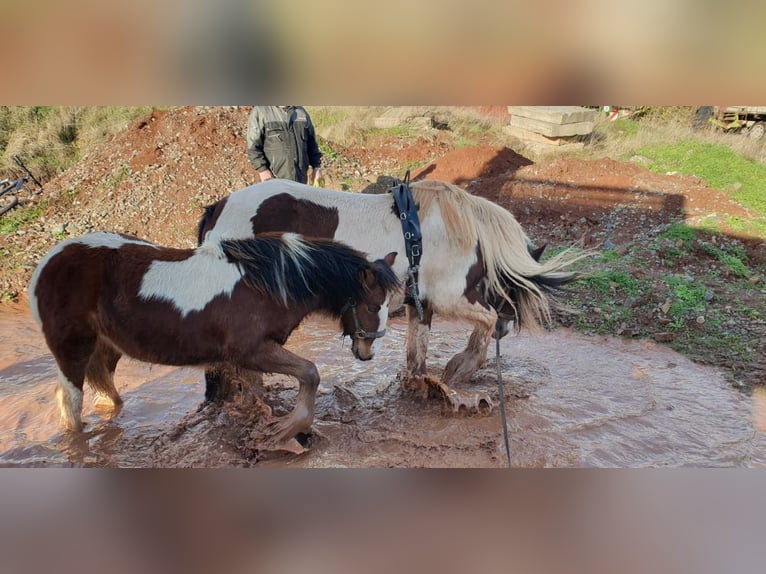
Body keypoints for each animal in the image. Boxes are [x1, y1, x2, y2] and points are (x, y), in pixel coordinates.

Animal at [28, 232, 402, 448]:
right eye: (372, 306)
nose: (367, 352)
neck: (268, 283)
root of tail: (48, 262)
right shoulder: (251, 351)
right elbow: (310, 372)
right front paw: (287, 429)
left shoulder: (249, 358)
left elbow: (254, 395)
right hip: (73, 351)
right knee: (72, 405)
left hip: (106, 350)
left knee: (106, 396)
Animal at [200, 178, 588, 412]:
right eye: (513, 291)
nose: (505, 332)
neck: (462, 233)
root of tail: (218, 209)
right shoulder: (451, 297)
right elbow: (483, 322)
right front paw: (460, 369)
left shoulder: (423, 303)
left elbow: (417, 357)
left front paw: (426, 388)